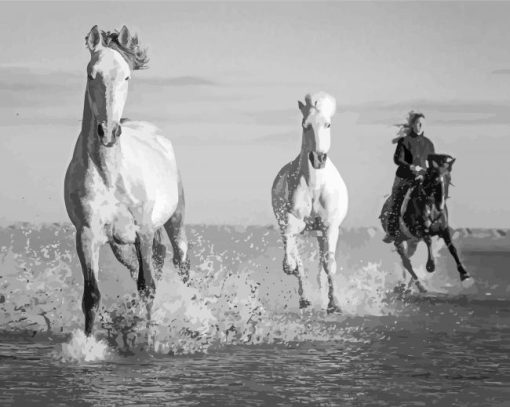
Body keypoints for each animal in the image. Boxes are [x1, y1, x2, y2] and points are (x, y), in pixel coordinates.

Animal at [64, 26, 190, 338]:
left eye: (126, 77)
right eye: (91, 74)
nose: (108, 131)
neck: (110, 176)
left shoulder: (142, 230)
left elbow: (148, 287)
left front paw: (148, 336)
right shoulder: (86, 235)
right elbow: (92, 295)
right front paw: (87, 344)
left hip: (175, 220)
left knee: (181, 263)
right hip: (120, 245)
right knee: (146, 265)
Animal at [270, 94, 350, 314]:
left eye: (328, 124)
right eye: (305, 125)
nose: (318, 158)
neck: (315, 187)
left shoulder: (330, 227)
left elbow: (329, 264)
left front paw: (334, 304)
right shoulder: (291, 223)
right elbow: (293, 263)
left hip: (321, 233)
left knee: (322, 266)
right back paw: (305, 300)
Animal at [380, 154, 472, 294]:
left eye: (449, 178)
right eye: (435, 180)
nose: (441, 204)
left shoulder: (444, 230)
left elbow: (452, 248)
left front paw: (465, 275)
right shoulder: (419, 230)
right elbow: (428, 239)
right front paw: (430, 265)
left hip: (412, 242)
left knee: (407, 259)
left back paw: (407, 285)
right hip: (398, 239)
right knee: (406, 262)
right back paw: (418, 286)